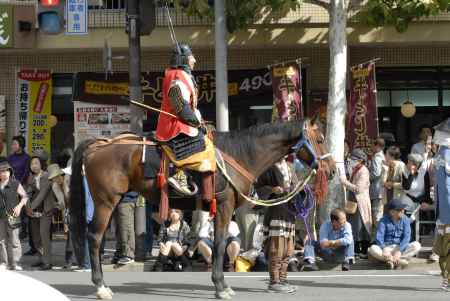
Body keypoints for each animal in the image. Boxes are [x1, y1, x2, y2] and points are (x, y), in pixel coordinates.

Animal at [67, 117, 334, 298]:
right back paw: (101, 286)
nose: (331, 170)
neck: (241, 153)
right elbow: (219, 243)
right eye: (320, 139)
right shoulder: (224, 206)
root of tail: (100, 144)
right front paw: (221, 286)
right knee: (94, 237)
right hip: (106, 201)